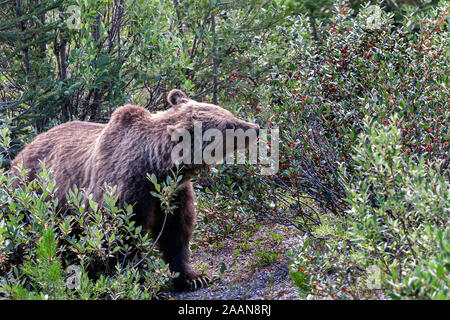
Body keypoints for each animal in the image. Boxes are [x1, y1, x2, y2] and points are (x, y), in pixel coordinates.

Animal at [10, 89, 260, 292]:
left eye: (228, 113)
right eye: (229, 125)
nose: (256, 127)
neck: (157, 166)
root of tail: (18, 155)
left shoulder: (173, 193)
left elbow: (177, 232)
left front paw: (193, 277)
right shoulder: (123, 188)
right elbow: (122, 235)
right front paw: (138, 278)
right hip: (31, 197)